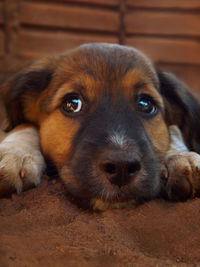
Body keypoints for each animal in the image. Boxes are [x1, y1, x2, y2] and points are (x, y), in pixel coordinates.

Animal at [0, 43, 199, 210]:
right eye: (73, 104)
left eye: (145, 104)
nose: (121, 168)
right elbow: (25, 125)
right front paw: (15, 153)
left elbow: (174, 130)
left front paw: (179, 156)